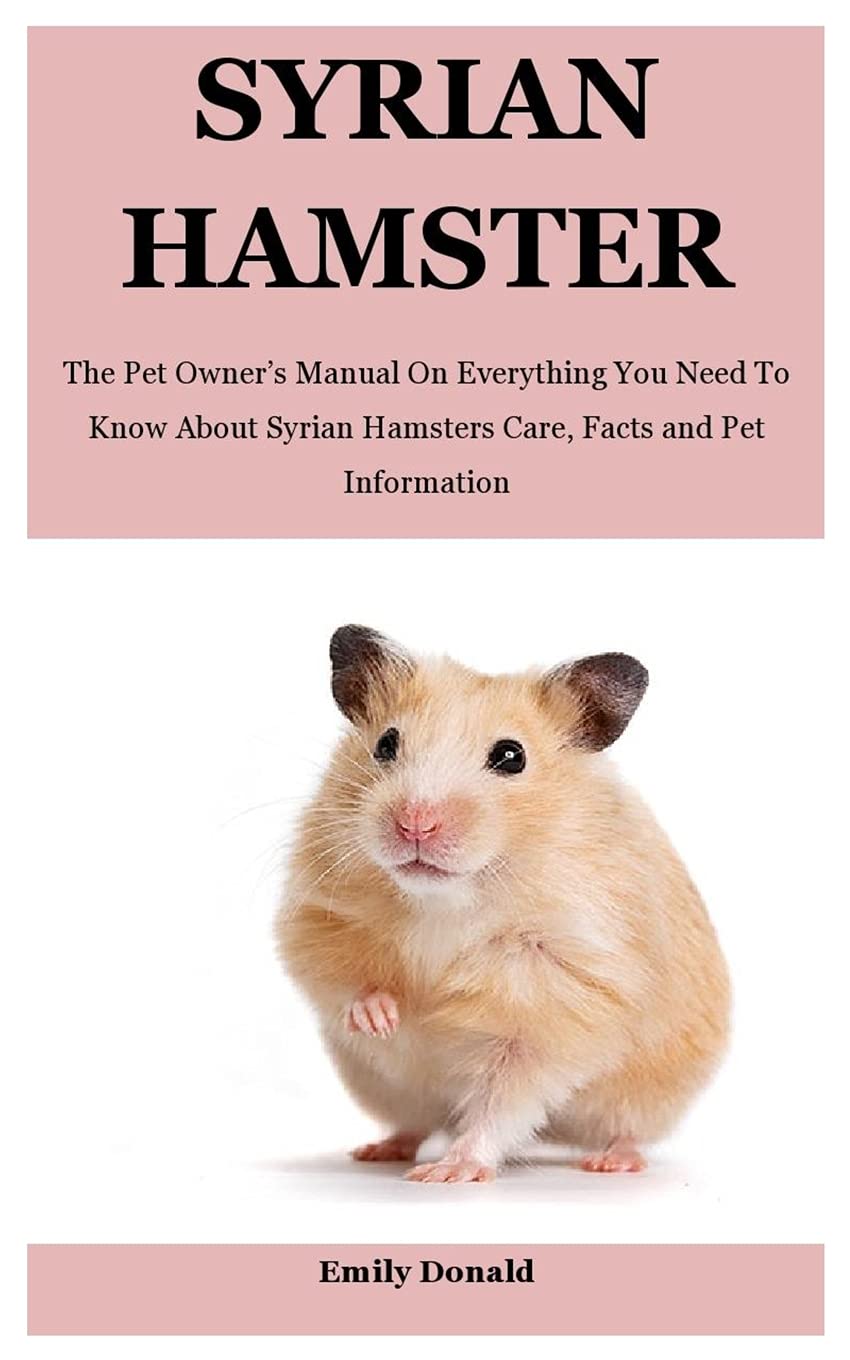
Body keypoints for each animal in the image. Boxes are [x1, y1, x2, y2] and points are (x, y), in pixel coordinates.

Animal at [276, 625, 730, 1184]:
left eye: (512, 756)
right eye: (385, 743)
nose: (415, 824)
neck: (446, 899)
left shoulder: (555, 1003)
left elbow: (502, 1100)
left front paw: (448, 1173)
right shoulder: (318, 913)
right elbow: (342, 977)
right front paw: (382, 1018)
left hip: (649, 1094)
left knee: (624, 1129)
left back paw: (609, 1162)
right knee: (414, 1123)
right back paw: (378, 1150)